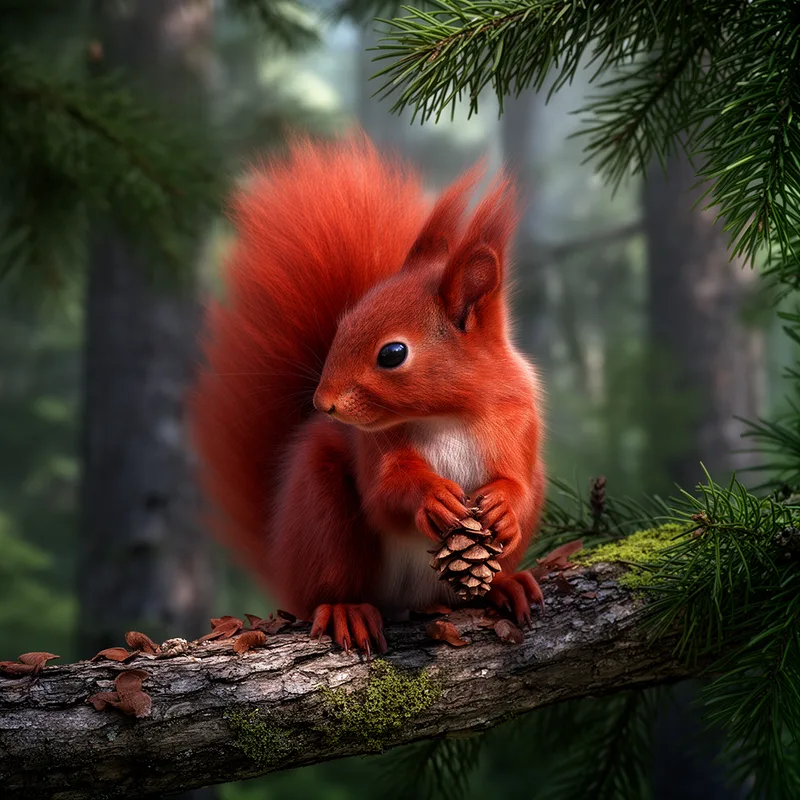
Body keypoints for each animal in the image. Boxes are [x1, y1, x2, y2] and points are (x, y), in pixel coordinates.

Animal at [189, 134, 546, 655]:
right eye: (343, 323)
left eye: (392, 353)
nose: (323, 404)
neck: (448, 415)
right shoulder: (373, 446)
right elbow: (386, 492)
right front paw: (432, 498)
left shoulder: (519, 422)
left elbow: (515, 478)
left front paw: (503, 502)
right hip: (322, 515)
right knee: (330, 586)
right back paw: (347, 608)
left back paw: (506, 583)